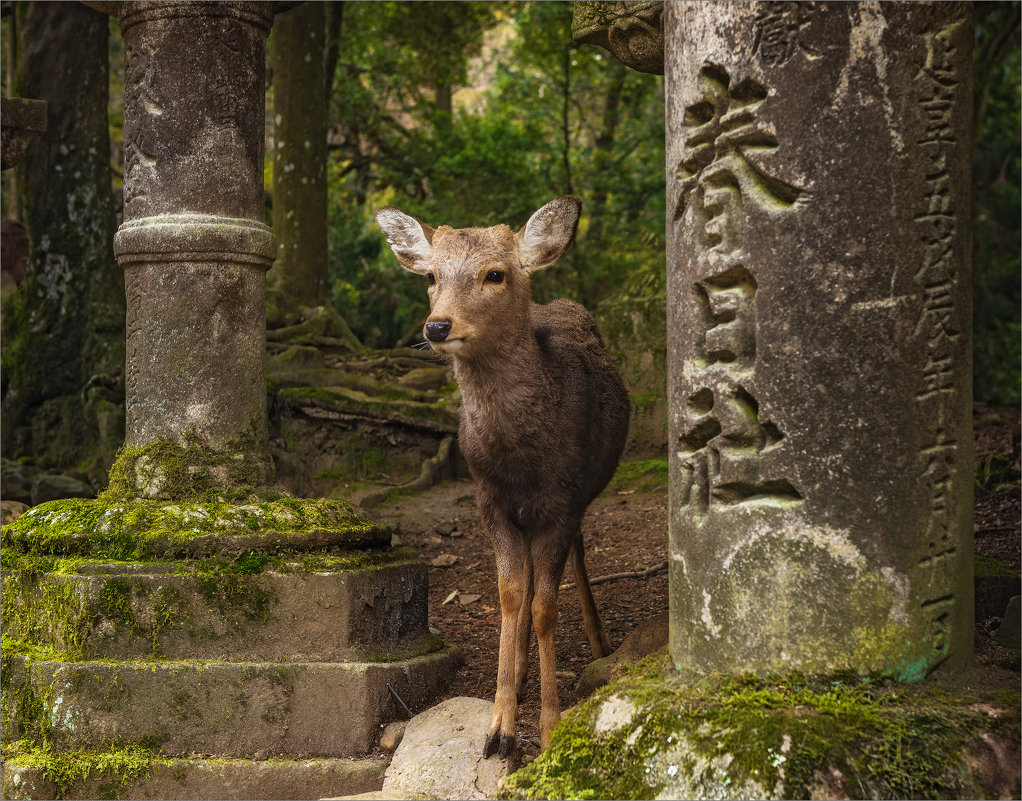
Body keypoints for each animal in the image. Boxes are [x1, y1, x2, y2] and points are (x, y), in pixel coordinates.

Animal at [376, 195, 629, 756]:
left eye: (495, 273)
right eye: (431, 275)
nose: (437, 326)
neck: (520, 462)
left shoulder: (560, 500)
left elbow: (545, 608)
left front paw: (551, 729)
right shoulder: (489, 500)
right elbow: (511, 596)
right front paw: (499, 727)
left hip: (581, 497)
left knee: (579, 553)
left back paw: (600, 641)